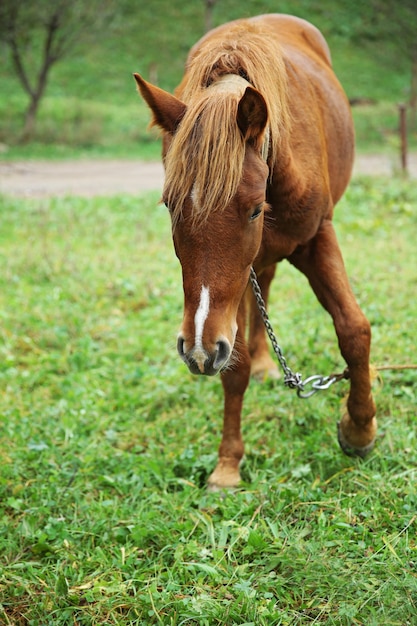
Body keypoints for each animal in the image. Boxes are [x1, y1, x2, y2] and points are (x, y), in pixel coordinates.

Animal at [134, 12, 376, 486]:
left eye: (253, 210)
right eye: (169, 205)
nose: (196, 350)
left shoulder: (317, 238)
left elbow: (353, 330)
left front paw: (360, 429)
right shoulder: (220, 310)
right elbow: (235, 363)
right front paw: (228, 463)